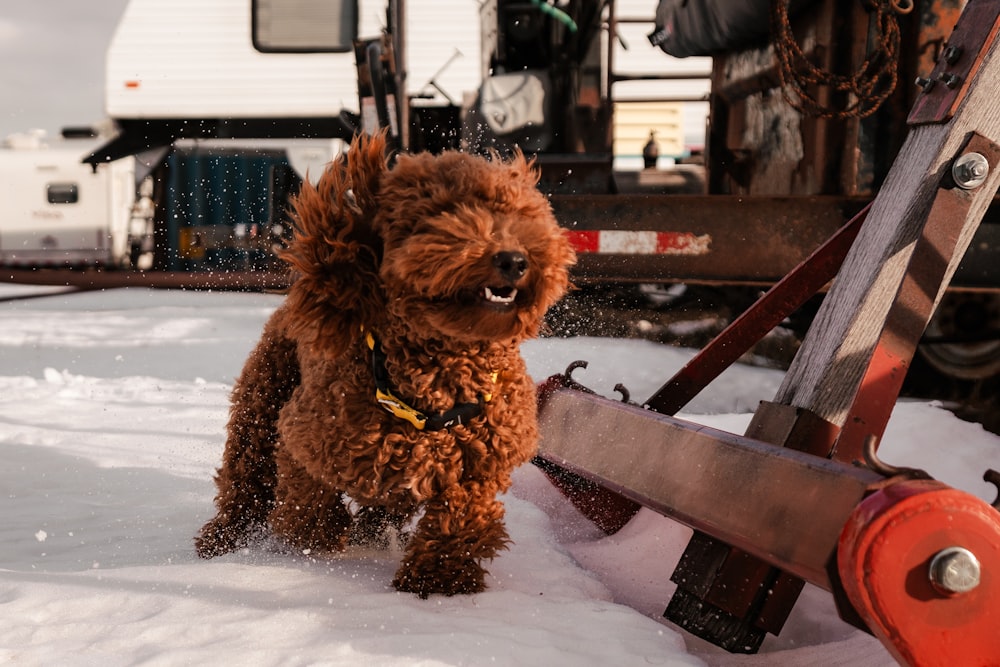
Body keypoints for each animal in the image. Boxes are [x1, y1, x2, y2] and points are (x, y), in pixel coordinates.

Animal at [194, 133, 576, 596]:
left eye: (521, 214)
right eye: (440, 214)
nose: (514, 260)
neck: (438, 384)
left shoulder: (484, 459)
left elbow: (462, 511)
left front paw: (439, 577)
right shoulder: (304, 438)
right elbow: (305, 503)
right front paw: (316, 538)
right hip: (261, 404)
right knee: (244, 479)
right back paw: (221, 541)